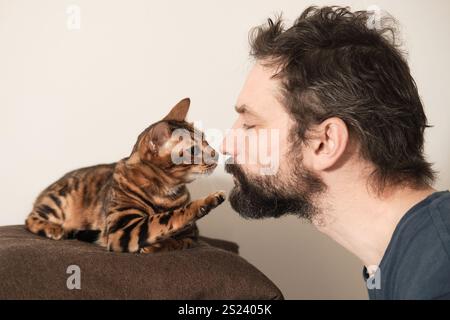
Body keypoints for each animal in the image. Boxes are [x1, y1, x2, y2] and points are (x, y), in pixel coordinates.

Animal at [25, 97, 225, 252]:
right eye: (193, 150)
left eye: (206, 140)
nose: (216, 153)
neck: (166, 191)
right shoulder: (123, 230)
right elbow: (167, 218)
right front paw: (208, 200)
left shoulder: (192, 234)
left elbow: (179, 240)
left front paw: (158, 245)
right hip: (58, 200)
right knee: (30, 219)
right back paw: (53, 229)